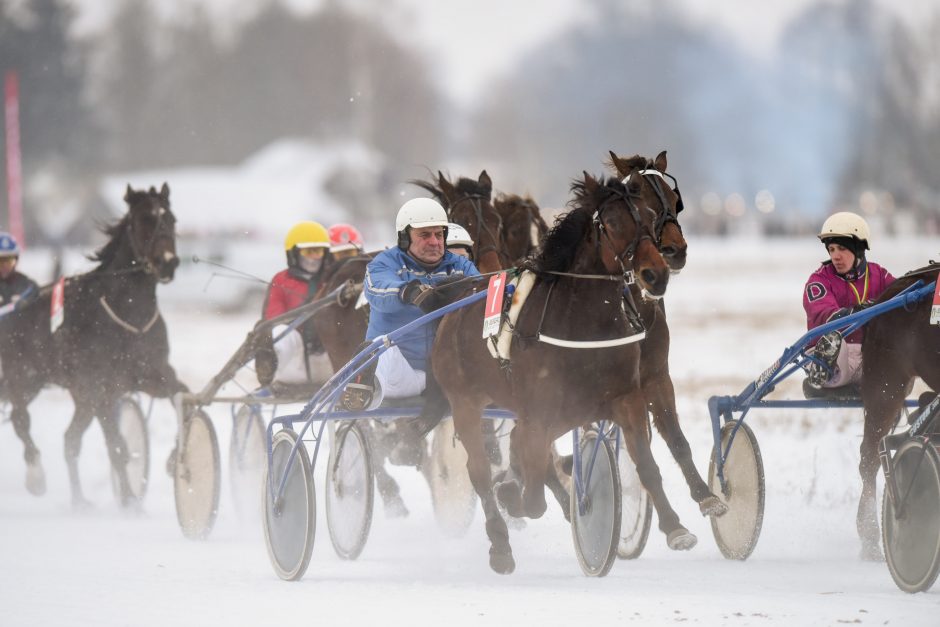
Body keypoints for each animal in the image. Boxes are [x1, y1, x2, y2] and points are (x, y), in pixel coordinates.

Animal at [0, 184, 185, 508]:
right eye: (145, 219)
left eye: (171, 219)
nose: (168, 262)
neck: (127, 314)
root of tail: (15, 305)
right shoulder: (101, 386)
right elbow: (117, 446)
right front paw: (130, 502)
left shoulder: (151, 375)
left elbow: (183, 397)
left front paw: (173, 460)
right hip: (23, 379)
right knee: (21, 420)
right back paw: (36, 477)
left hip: (78, 396)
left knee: (69, 439)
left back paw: (79, 501)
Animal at [430, 172, 700, 576]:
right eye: (611, 223)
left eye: (651, 217)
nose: (655, 273)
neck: (585, 323)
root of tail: (456, 303)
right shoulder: (539, 411)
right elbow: (532, 493)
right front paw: (514, 497)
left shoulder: (626, 397)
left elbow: (645, 464)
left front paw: (675, 527)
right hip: (465, 402)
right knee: (479, 470)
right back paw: (500, 543)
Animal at [604, 150, 724, 516]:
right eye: (639, 198)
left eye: (674, 200)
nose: (675, 250)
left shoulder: (656, 374)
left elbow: (675, 435)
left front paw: (705, 494)